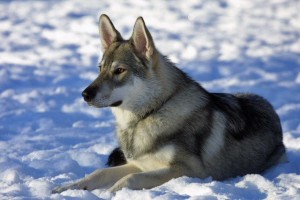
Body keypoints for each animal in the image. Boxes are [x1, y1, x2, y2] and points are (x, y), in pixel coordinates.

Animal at [52, 14, 286, 194]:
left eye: (119, 70)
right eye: (100, 69)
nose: (85, 94)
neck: (149, 114)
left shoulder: (191, 171)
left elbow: (128, 180)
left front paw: (109, 193)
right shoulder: (137, 164)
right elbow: (98, 173)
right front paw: (68, 188)